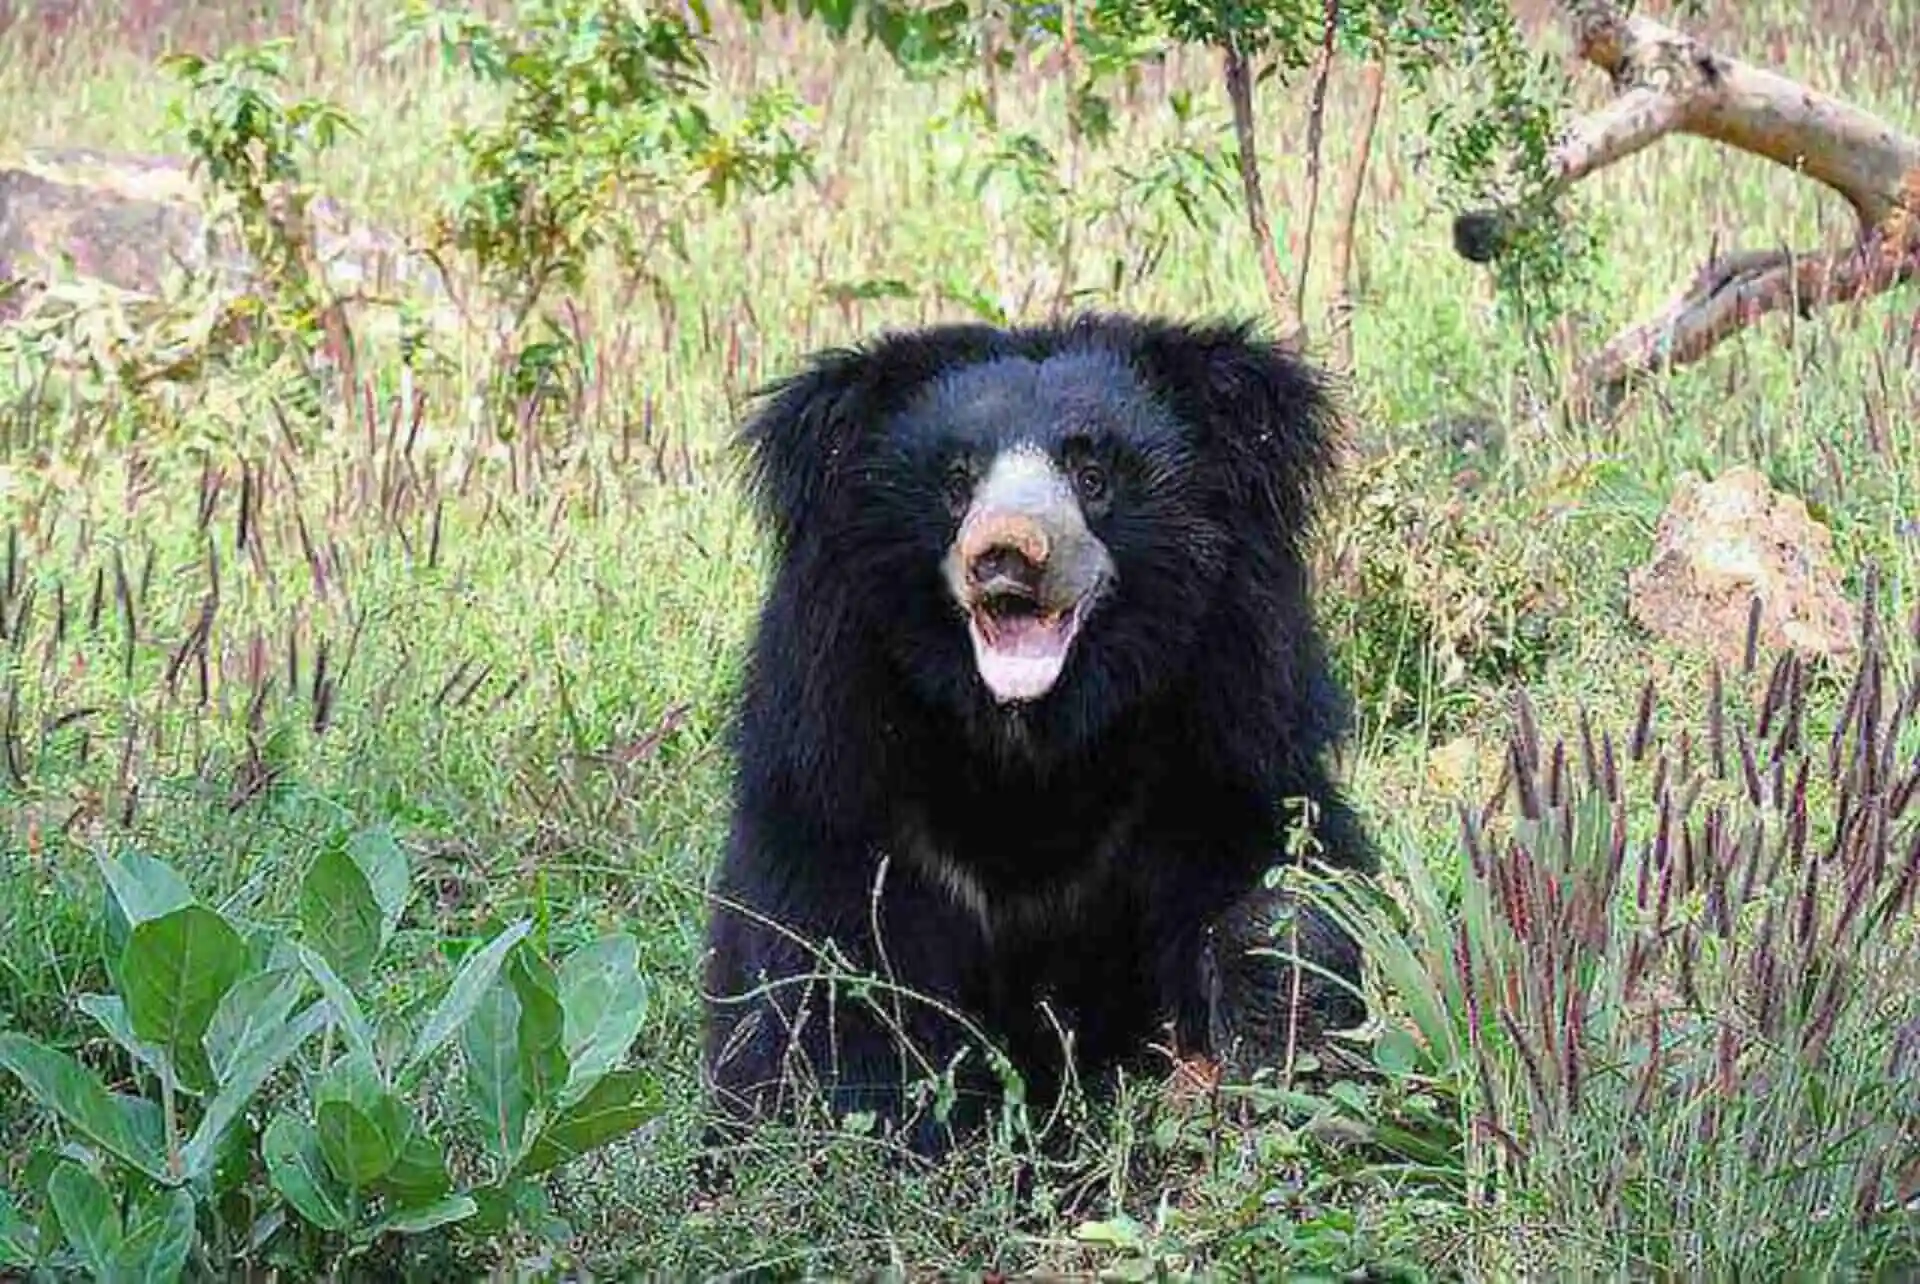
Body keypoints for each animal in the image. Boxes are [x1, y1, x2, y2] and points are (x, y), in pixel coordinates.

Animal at [698, 312, 1377, 1161]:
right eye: (957, 482)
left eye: (1092, 475)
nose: (1005, 553)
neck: (1031, 743)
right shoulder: (835, 774)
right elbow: (827, 982)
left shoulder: (1222, 736)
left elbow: (1279, 881)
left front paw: (1270, 1026)